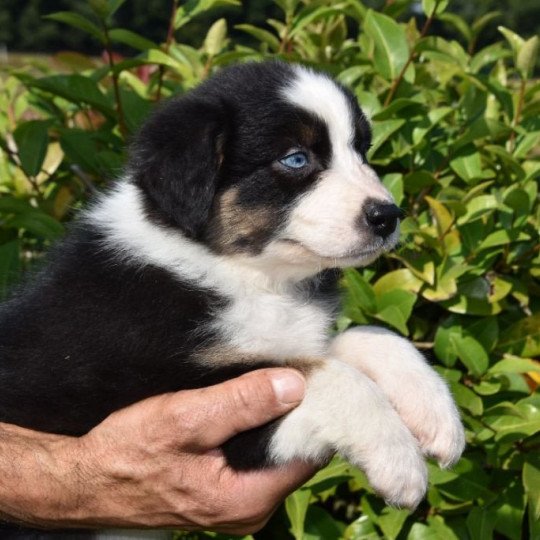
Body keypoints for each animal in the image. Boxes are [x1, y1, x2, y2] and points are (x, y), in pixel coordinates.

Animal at [0, 60, 464, 524]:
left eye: (362, 150)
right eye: (296, 159)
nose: (388, 216)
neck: (243, 274)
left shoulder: (283, 338)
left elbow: (366, 336)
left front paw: (438, 415)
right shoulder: (176, 391)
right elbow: (326, 376)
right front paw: (400, 463)